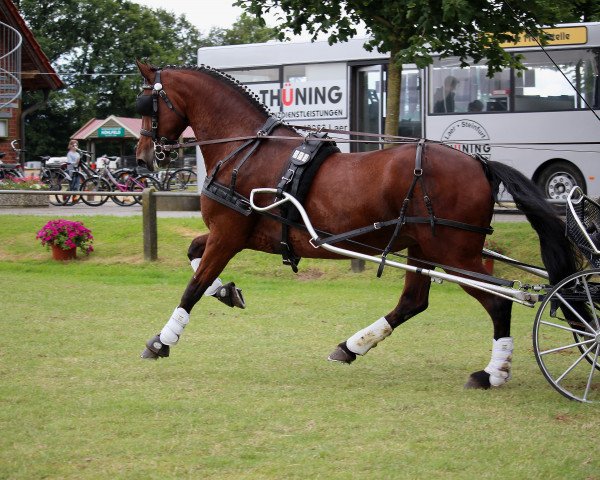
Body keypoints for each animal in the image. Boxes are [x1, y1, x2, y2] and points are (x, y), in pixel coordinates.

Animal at [134, 61, 580, 390]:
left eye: (145, 103)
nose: (141, 157)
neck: (246, 150)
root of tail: (479, 163)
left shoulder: (228, 234)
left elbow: (193, 286)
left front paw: (162, 340)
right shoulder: (236, 234)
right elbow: (194, 255)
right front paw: (227, 292)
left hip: (455, 252)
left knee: (500, 300)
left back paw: (492, 372)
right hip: (423, 248)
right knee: (413, 302)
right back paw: (351, 347)